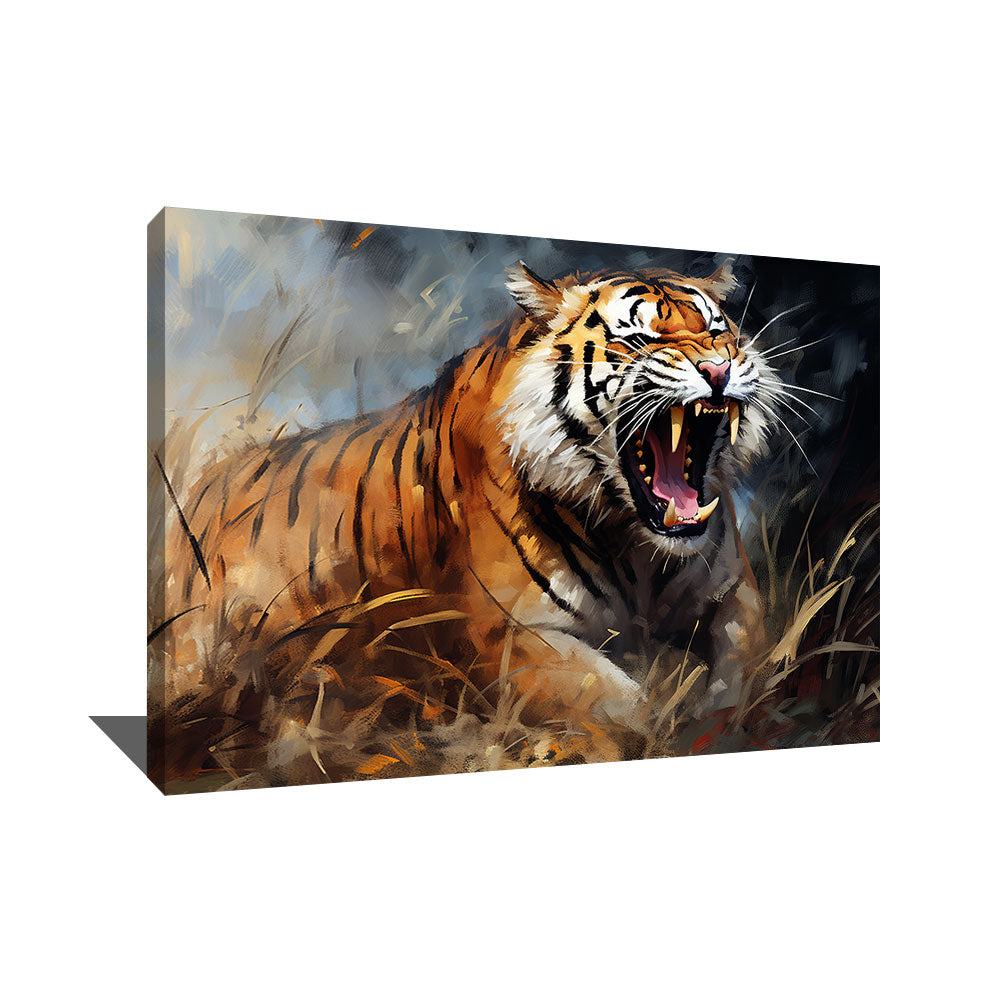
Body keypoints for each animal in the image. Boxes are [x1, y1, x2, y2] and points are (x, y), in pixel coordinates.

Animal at [156, 259, 774, 764]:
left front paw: (715, 726)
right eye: (640, 336)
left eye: (718, 331)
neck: (639, 549)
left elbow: (739, 677)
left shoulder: (733, 594)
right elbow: (620, 703)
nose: (720, 369)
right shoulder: (510, 632)